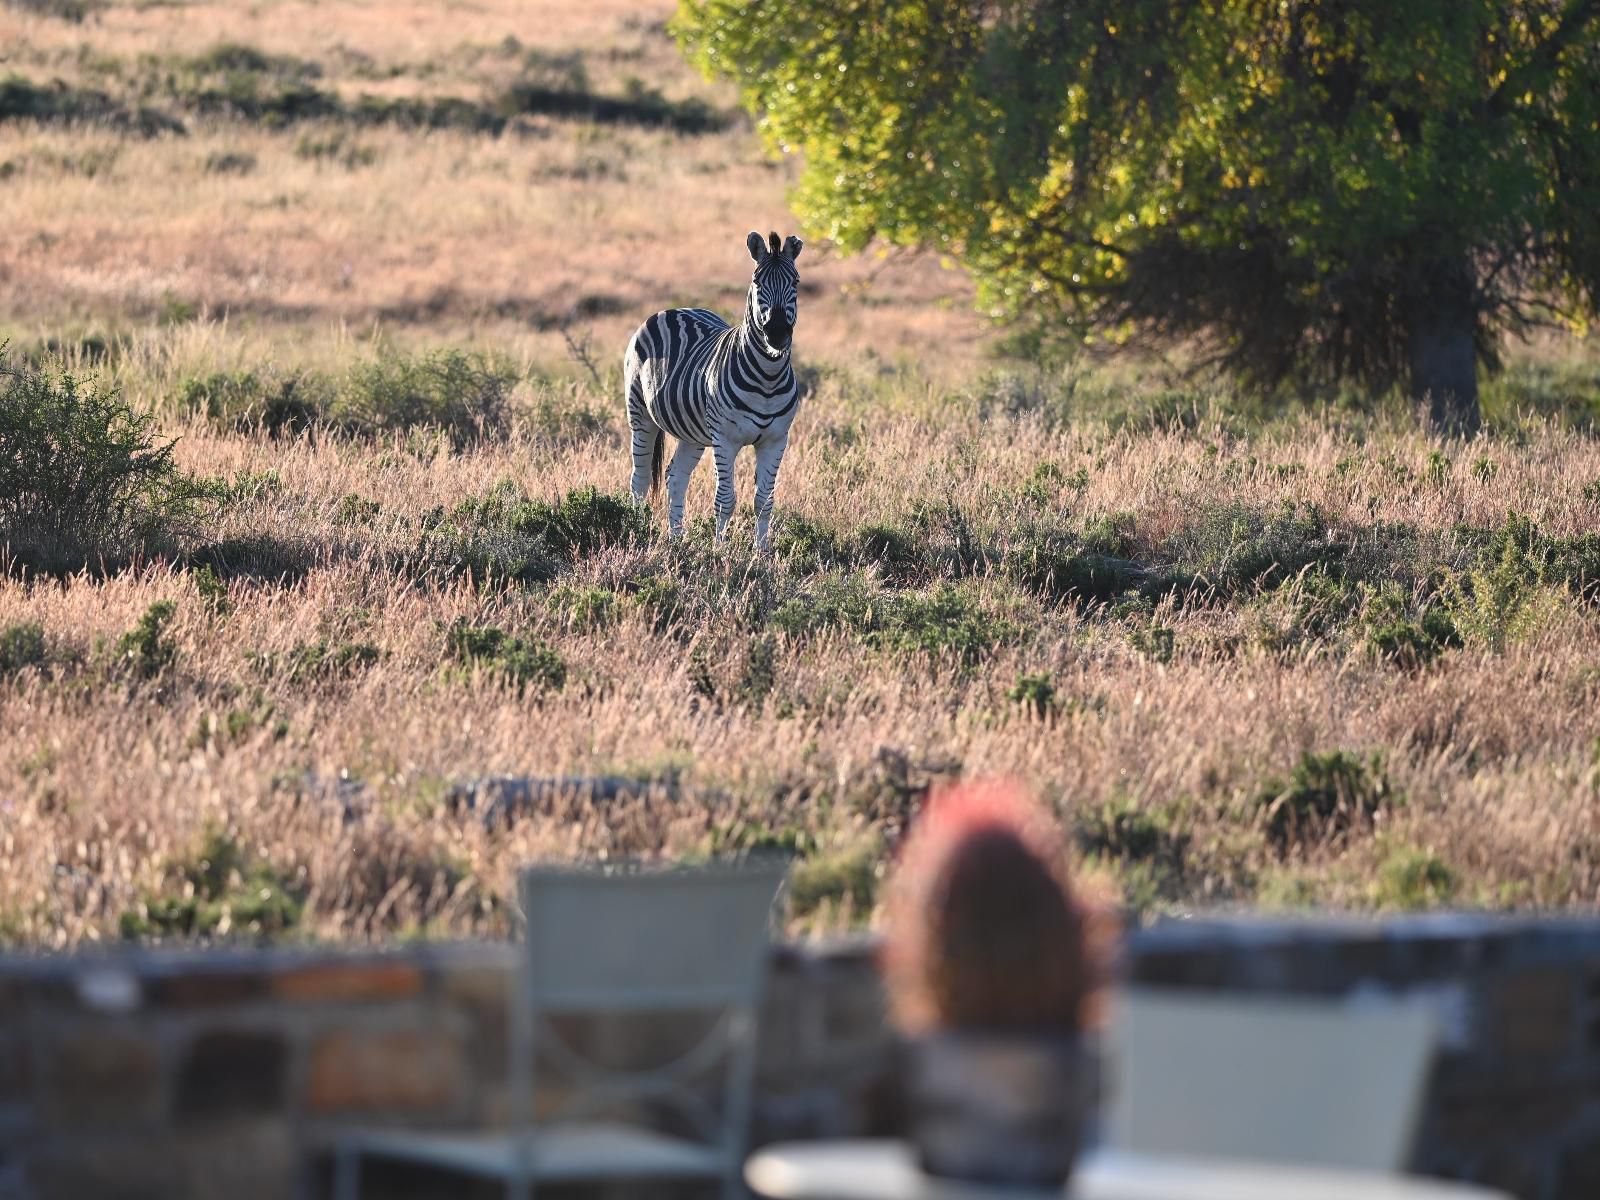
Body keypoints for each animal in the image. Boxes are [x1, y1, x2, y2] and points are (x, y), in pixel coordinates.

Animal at [620, 227, 800, 553]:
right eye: (757, 282)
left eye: (795, 282)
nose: (778, 333)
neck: (768, 378)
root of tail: (674, 309)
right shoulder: (725, 439)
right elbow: (725, 501)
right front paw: (720, 550)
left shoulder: (776, 439)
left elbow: (764, 502)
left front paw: (762, 553)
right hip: (640, 415)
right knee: (639, 480)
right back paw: (636, 531)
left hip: (693, 434)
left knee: (676, 477)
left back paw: (676, 539)